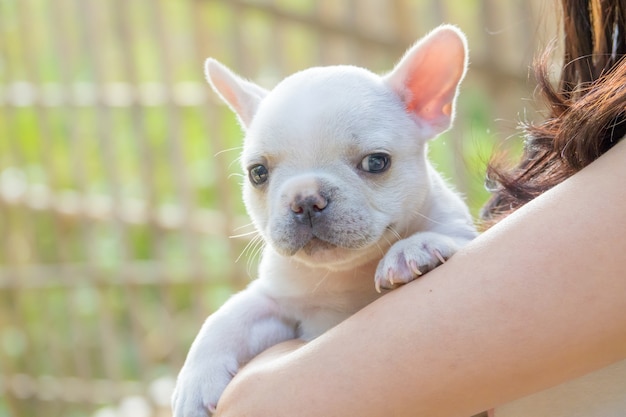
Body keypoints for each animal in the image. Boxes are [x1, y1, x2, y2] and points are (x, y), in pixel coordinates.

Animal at [171, 26, 472, 416]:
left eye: (376, 162)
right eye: (257, 173)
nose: (304, 199)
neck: (346, 274)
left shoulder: (462, 231)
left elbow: (445, 236)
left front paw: (411, 250)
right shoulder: (277, 304)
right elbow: (229, 315)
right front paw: (194, 383)